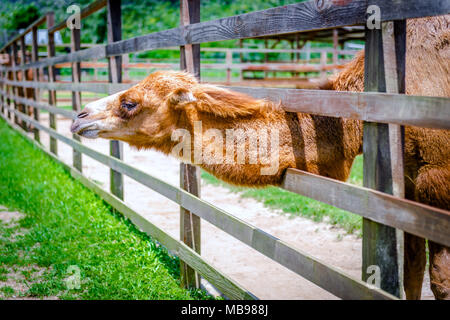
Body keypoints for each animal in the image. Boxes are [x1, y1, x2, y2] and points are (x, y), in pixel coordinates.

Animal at [70, 16, 446, 298]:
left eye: (130, 103)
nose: (79, 117)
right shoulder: (406, 187)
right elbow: (412, 272)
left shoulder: (436, 178)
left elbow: (439, 280)